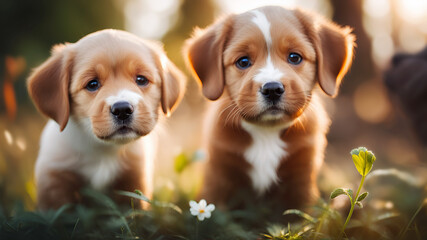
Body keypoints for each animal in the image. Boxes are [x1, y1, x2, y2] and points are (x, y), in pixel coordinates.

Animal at [28, 28, 186, 210]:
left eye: (141, 79)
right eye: (92, 84)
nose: (122, 109)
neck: (103, 149)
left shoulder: (134, 178)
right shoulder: (54, 179)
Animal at [186, 6, 356, 210]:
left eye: (294, 57)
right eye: (243, 62)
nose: (272, 89)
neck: (266, 131)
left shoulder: (302, 182)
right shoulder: (217, 177)